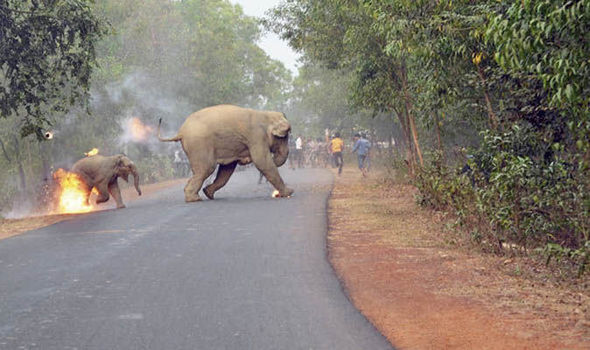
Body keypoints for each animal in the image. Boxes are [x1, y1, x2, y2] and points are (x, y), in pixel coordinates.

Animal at [158, 104, 294, 202]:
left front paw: (208, 192)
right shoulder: (256, 137)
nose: (275, 158)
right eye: (284, 137)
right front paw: (289, 192)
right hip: (199, 144)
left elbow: (227, 169)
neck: (265, 115)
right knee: (206, 169)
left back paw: (202, 195)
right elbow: (262, 161)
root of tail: (180, 132)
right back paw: (194, 199)